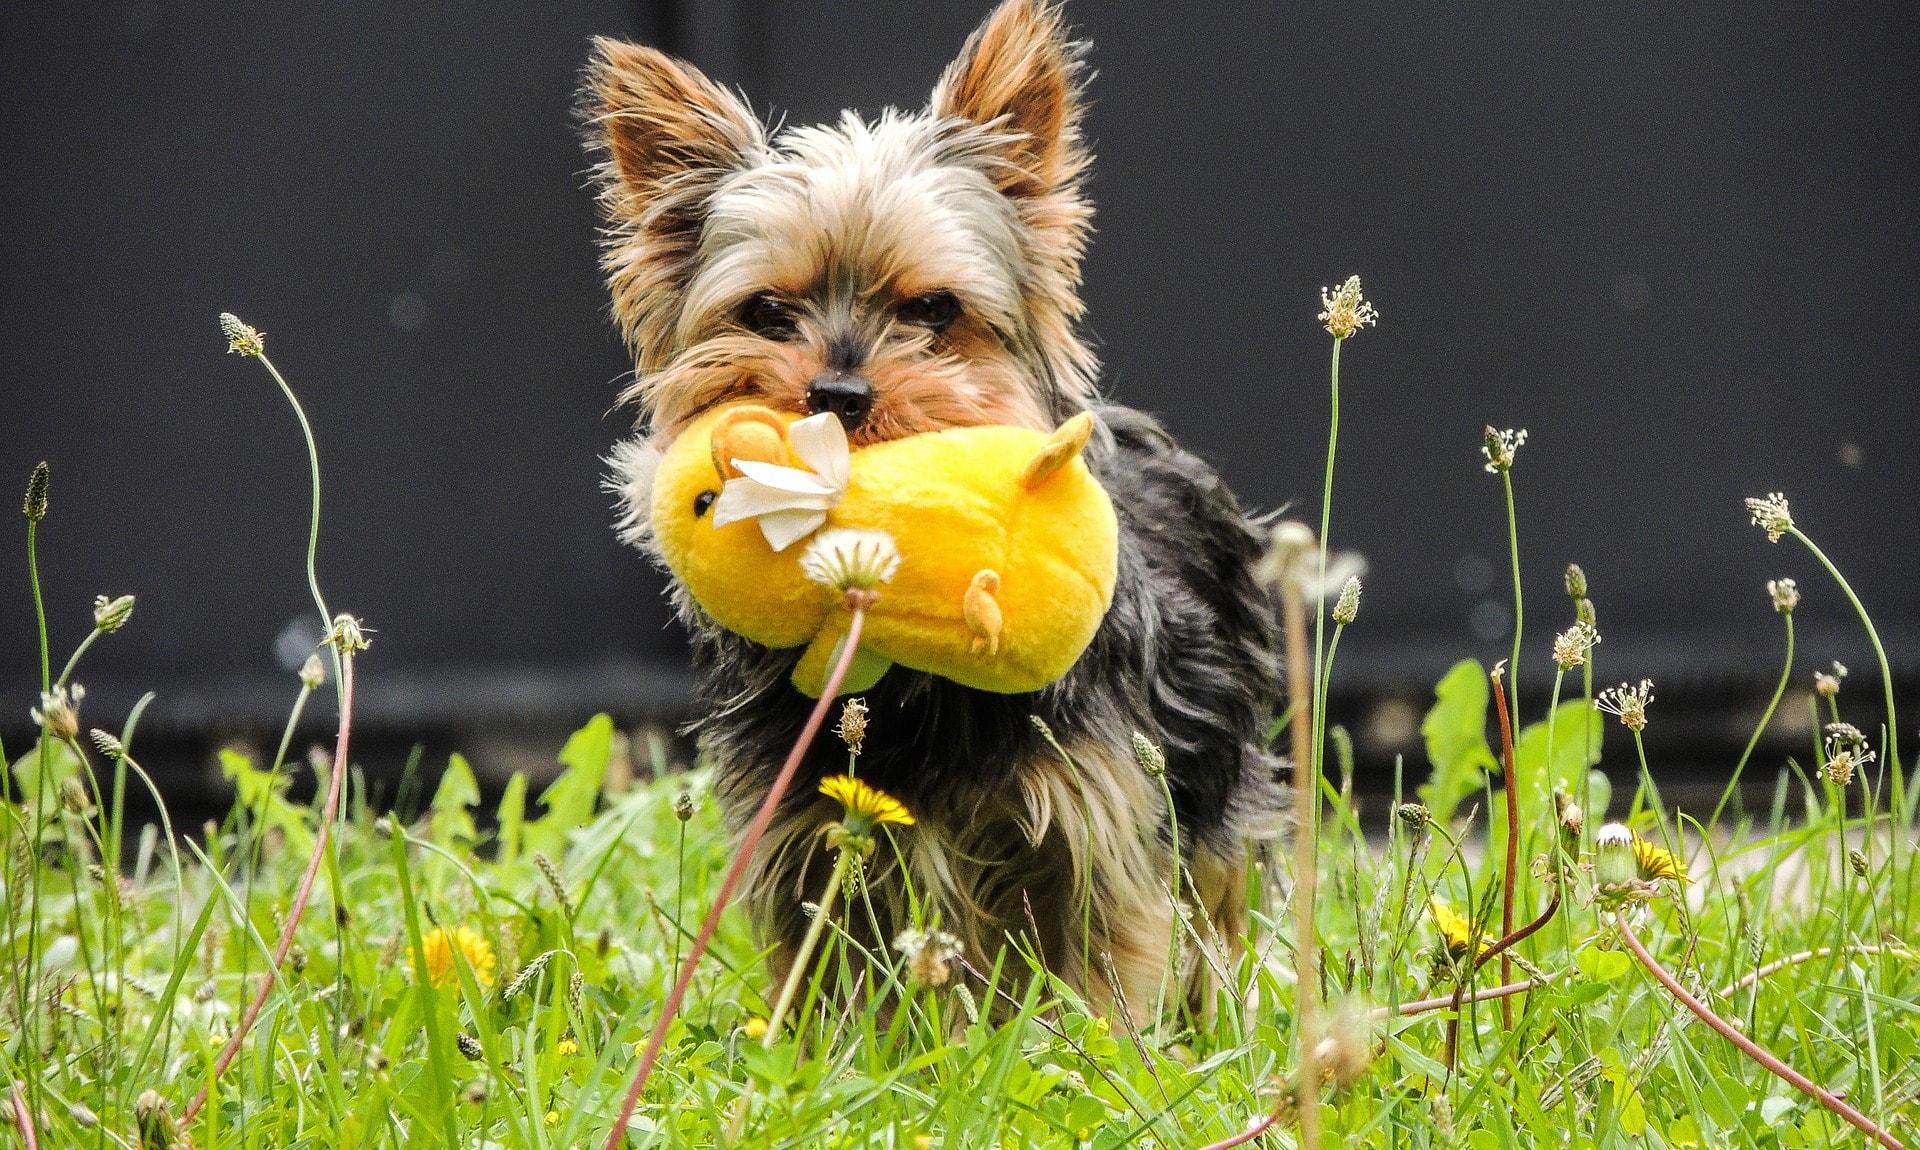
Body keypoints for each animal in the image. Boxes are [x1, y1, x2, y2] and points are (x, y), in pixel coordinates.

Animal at [583, 0, 1274, 1029]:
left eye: (935, 310)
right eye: (767, 313)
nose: (836, 392)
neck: (906, 674)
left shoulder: (1092, 825)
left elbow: (1100, 970)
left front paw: (1093, 1055)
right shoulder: (811, 833)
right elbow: (833, 980)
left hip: (1218, 789)